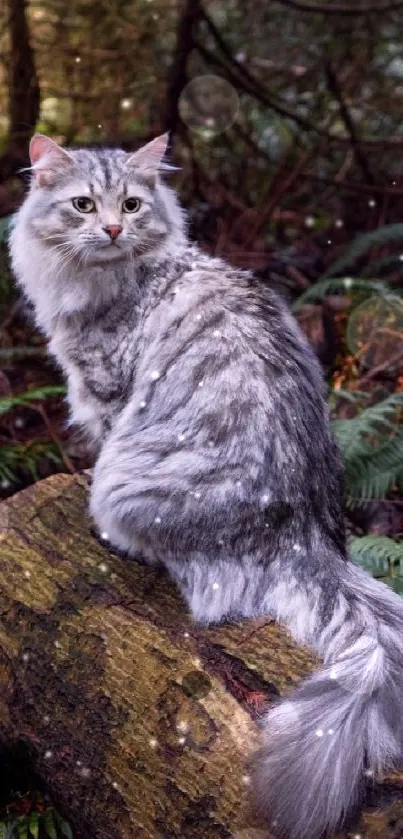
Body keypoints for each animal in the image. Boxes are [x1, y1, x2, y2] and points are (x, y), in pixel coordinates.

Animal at [9, 133, 403, 839]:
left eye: (131, 205)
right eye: (83, 205)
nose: (112, 229)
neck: (106, 280)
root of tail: (307, 537)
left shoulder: (109, 395)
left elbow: (100, 435)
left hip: (128, 485)